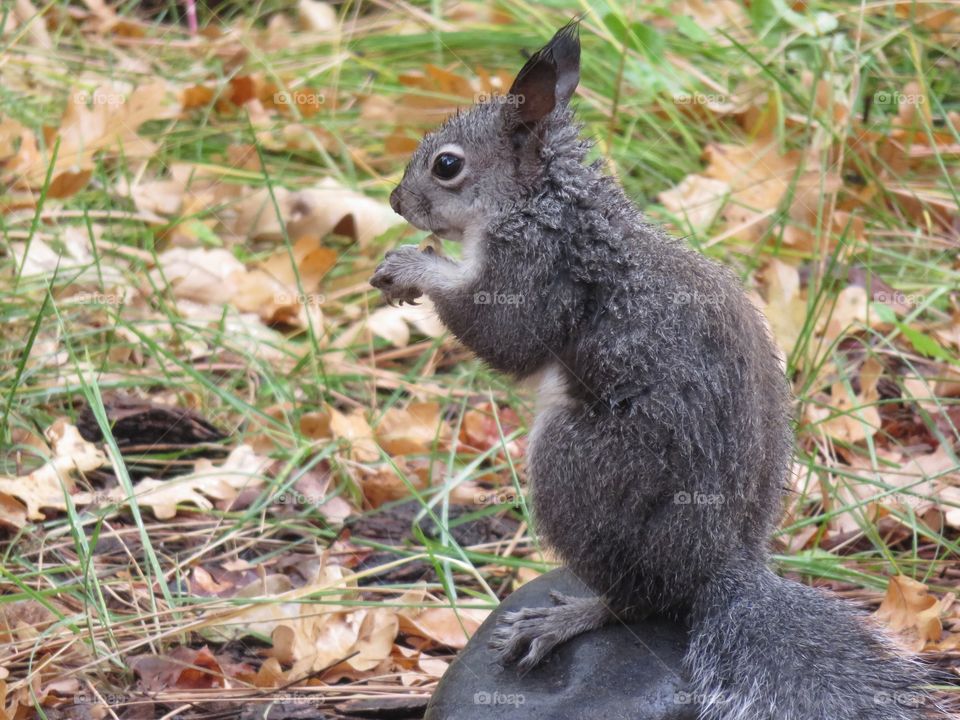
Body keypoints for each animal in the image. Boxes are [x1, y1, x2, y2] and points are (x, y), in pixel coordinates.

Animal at [370, 22, 944, 720]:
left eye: (446, 165)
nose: (396, 200)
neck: (542, 205)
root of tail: (719, 566)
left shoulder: (536, 269)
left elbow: (509, 339)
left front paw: (414, 267)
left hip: (581, 469)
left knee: (637, 600)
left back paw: (568, 619)